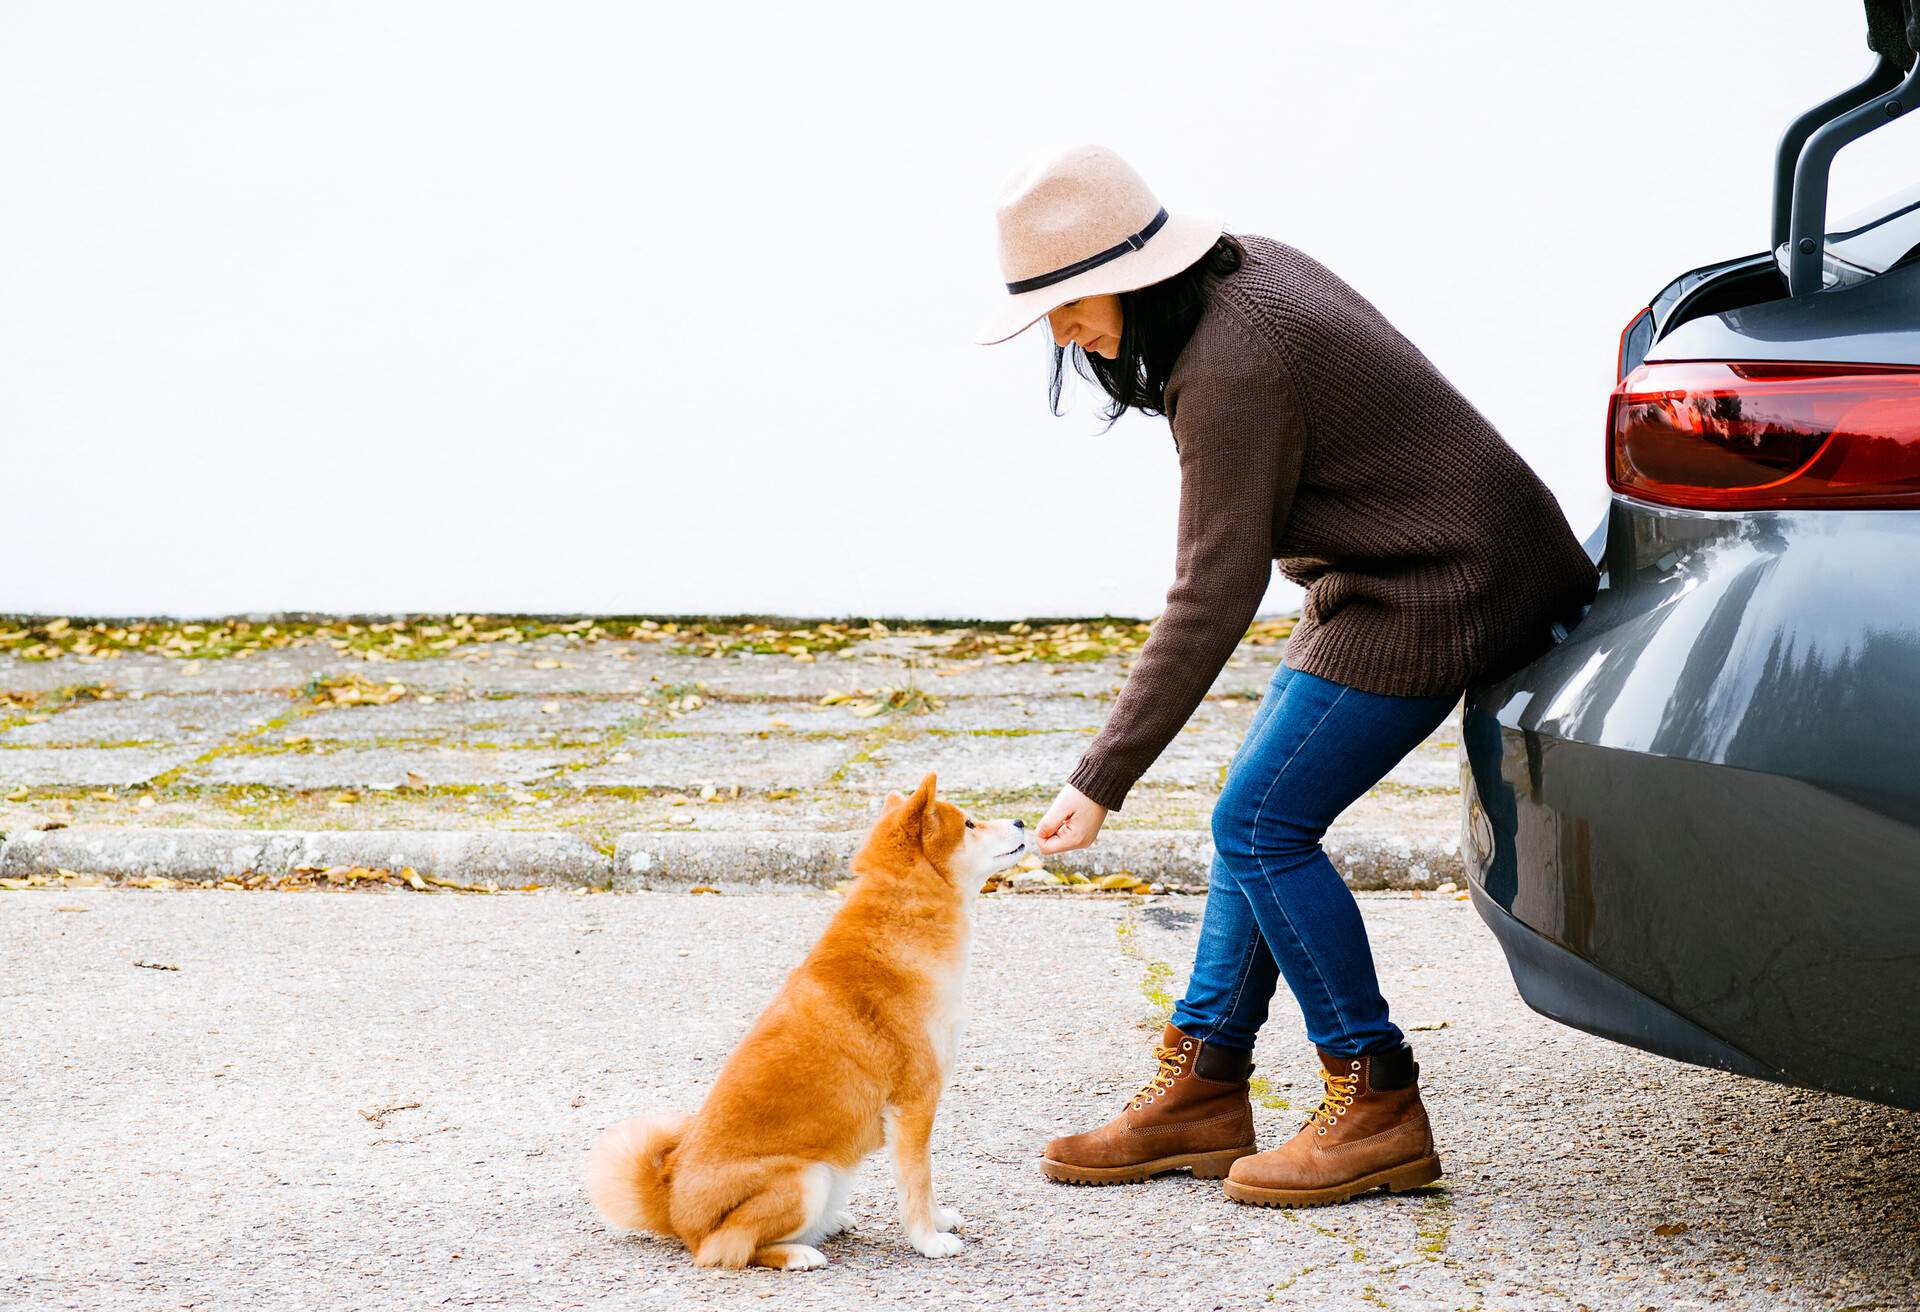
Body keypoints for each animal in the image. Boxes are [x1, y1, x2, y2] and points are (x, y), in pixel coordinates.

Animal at [583, 776, 1029, 1267]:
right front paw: (928, 1241)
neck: (901, 929)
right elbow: (916, 1183)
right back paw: (798, 1254)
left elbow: (925, 1182)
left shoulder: (917, 1113)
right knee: (727, 1248)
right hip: (807, 1180)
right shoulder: (913, 1104)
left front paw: (939, 1219)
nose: (1021, 820)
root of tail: (673, 1206)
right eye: (970, 823)